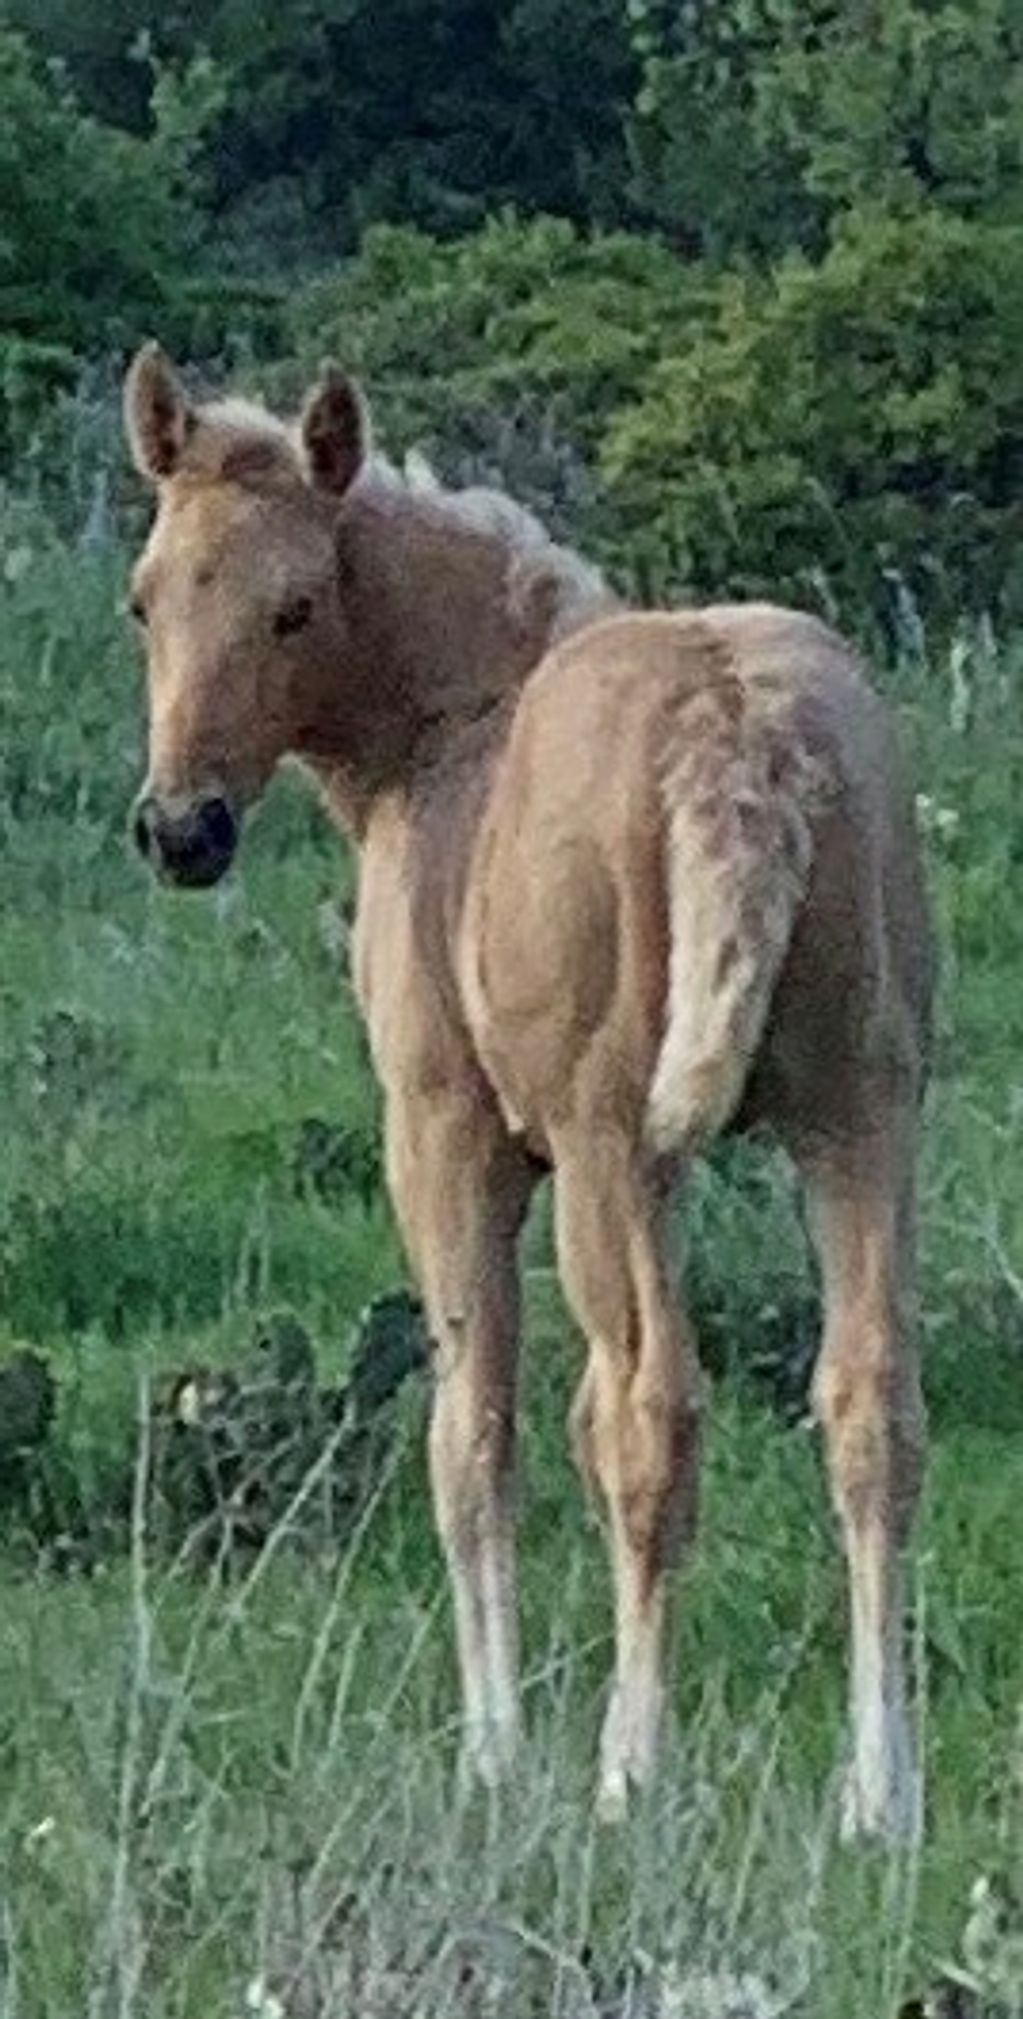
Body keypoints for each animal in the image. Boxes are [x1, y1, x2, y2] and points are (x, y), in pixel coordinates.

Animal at [123, 344, 934, 1841]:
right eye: (145, 598)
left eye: (294, 605)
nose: (180, 830)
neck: (454, 730)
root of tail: (741, 736)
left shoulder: (445, 1134)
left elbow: (472, 1434)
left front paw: (491, 1752)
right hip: (861, 1115)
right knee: (869, 1409)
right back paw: (877, 1790)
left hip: (617, 1147)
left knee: (648, 1416)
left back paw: (632, 1767)